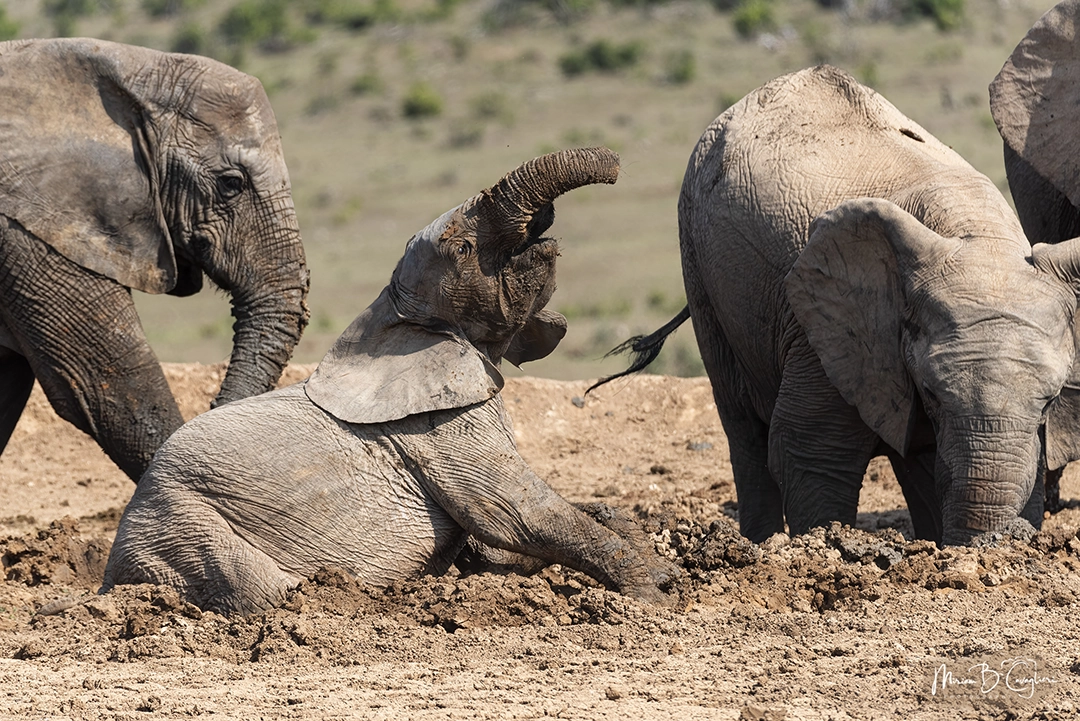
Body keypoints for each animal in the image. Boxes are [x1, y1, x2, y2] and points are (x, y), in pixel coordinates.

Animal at [101, 148, 679, 616]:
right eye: (463, 249)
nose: (620, 167)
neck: (398, 317)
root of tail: (106, 579)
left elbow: (503, 545)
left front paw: (661, 563)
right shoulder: (437, 427)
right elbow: (515, 514)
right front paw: (655, 594)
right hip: (184, 527)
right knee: (257, 588)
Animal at [594, 65, 1080, 547]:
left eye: (1050, 402)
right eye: (931, 394)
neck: (976, 235)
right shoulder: (826, 331)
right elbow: (812, 450)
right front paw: (825, 543)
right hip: (697, 260)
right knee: (743, 426)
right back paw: (758, 544)